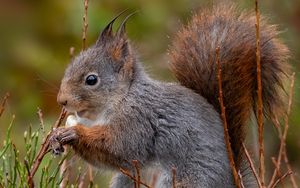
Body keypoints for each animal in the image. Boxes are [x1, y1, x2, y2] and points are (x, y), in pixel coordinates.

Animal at [49, 3, 290, 188]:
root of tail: (232, 182)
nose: (62, 100)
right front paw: (55, 136)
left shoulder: (138, 119)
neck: (122, 99)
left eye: (91, 80)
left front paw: (74, 133)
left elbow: (119, 146)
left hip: (183, 180)